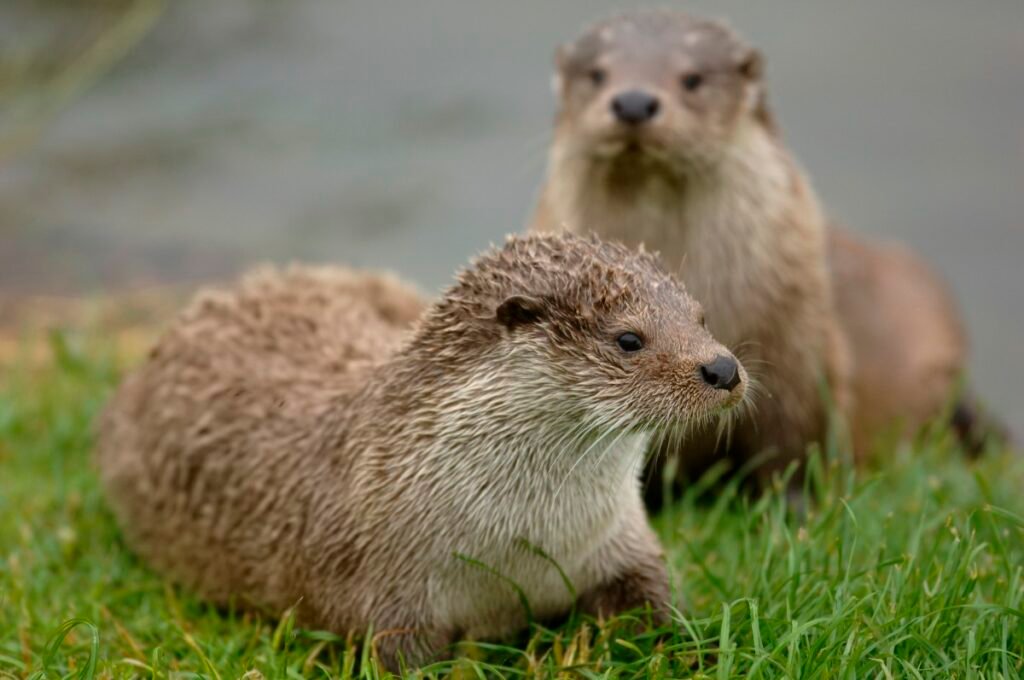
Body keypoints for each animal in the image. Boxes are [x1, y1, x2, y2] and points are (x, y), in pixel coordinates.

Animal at [99, 233, 749, 667]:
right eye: (629, 339)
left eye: (700, 317)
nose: (723, 367)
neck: (525, 542)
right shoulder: (386, 595)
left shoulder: (622, 541)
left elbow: (656, 606)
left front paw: (691, 652)